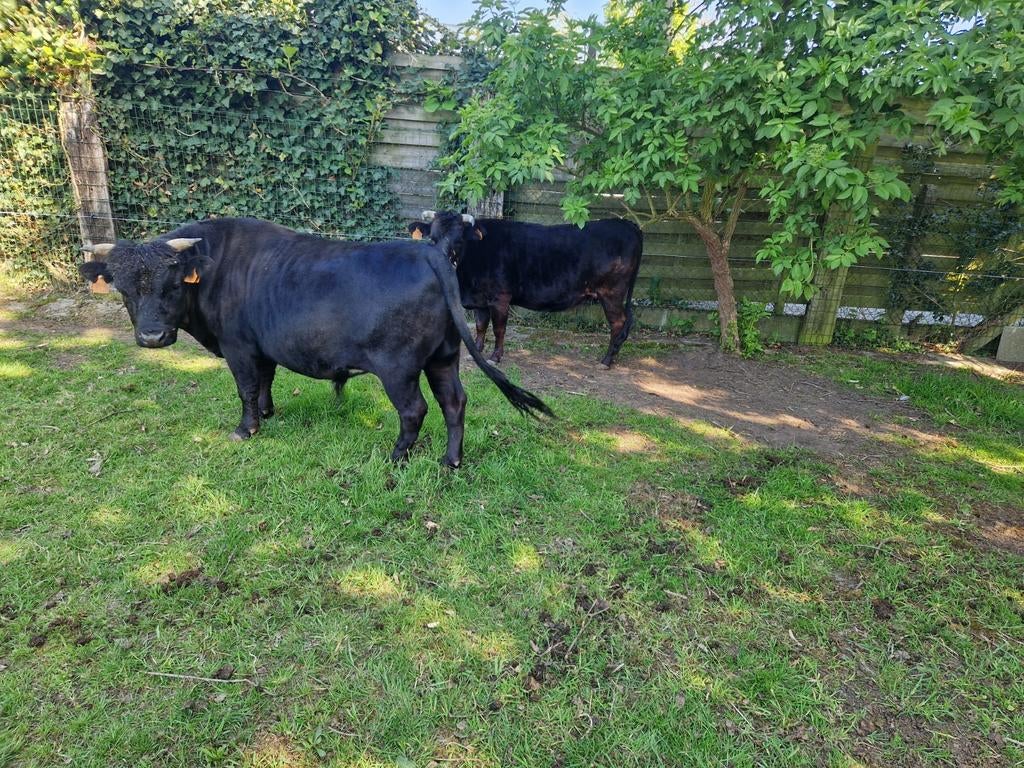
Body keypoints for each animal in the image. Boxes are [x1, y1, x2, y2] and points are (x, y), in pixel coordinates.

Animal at [78, 216, 552, 467]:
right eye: (123, 289)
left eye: (173, 284)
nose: (152, 336)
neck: (217, 268)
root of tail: (429, 253)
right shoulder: (262, 345)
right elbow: (265, 382)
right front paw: (267, 413)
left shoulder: (238, 347)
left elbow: (246, 388)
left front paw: (246, 428)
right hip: (444, 356)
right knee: (454, 402)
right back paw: (450, 461)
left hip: (398, 367)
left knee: (415, 410)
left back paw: (396, 457)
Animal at [408, 211, 643, 367]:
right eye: (432, 238)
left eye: (458, 240)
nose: (442, 261)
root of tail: (626, 224)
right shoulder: (480, 299)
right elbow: (481, 326)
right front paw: (477, 351)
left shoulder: (500, 297)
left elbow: (499, 329)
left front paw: (495, 357)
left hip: (611, 292)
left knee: (618, 322)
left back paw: (607, 360)